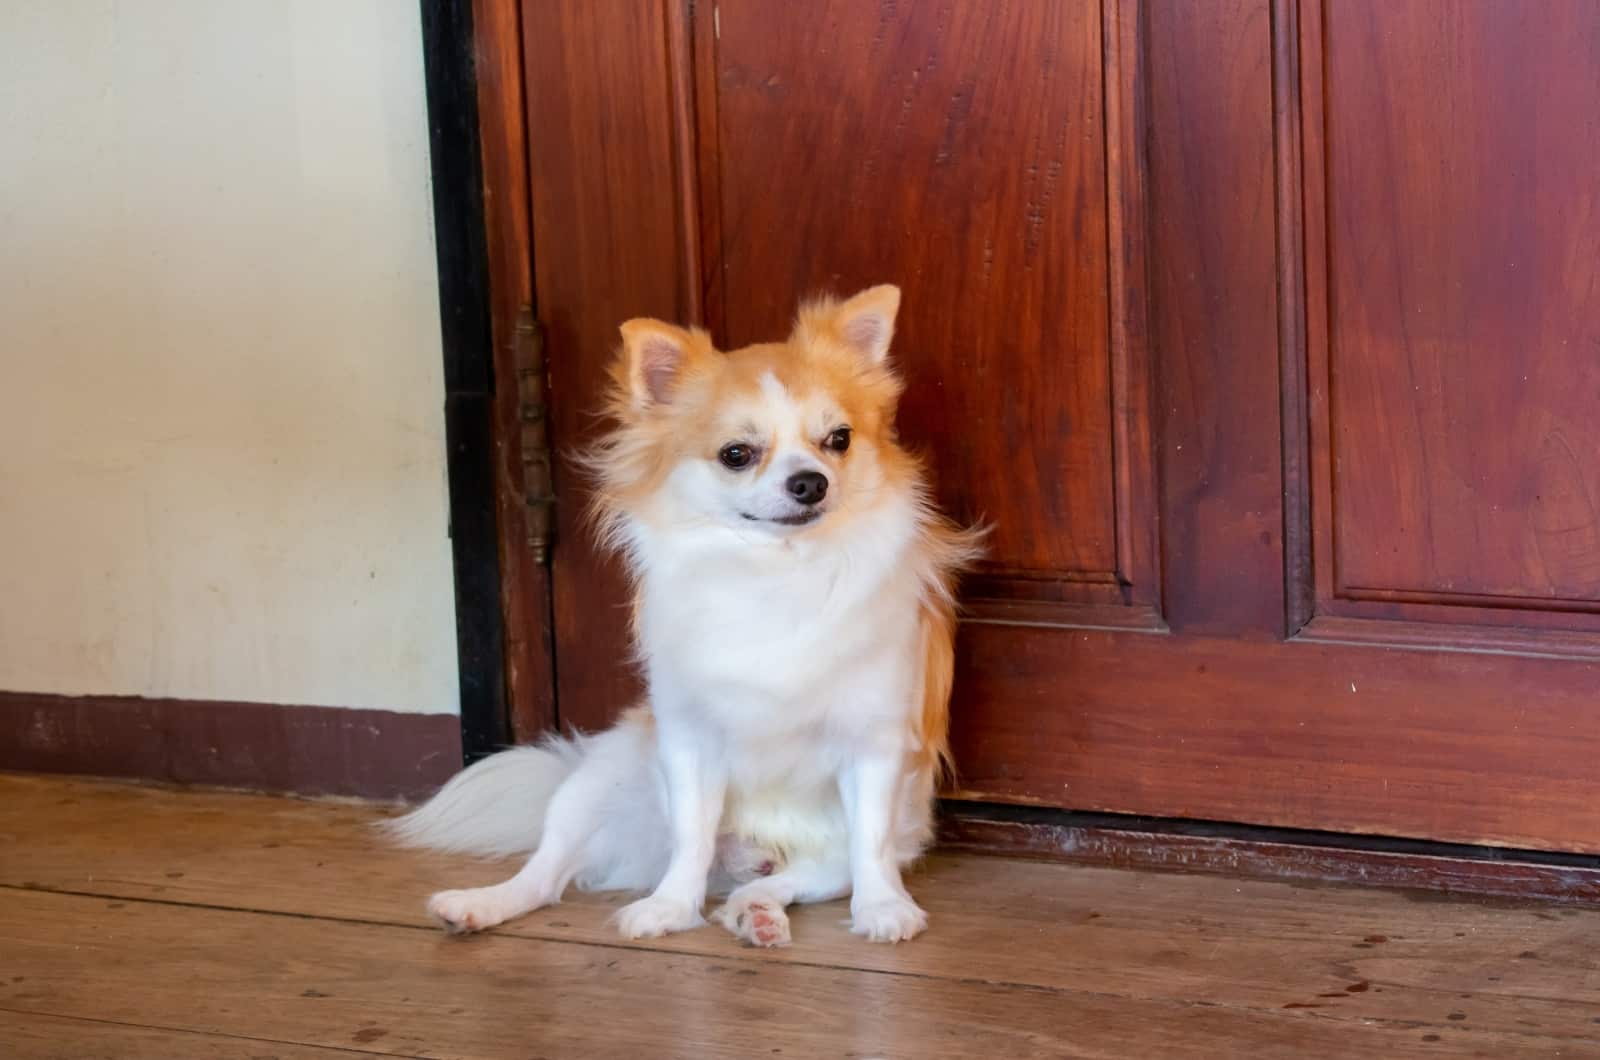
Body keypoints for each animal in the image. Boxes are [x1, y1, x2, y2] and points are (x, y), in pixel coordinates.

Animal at [393, 286, 979, 947]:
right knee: (546, 873)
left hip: (842, 849)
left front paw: (883, 908)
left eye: (840, 440)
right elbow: (692, 836)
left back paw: (756, 910)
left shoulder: (873, 746)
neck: (778, 572)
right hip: (594, 782)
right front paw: (669, 907)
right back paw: (479, 904)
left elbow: (871, 845)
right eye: (736, 455)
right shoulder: (690, 739)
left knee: (795, 876)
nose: (811, 481)